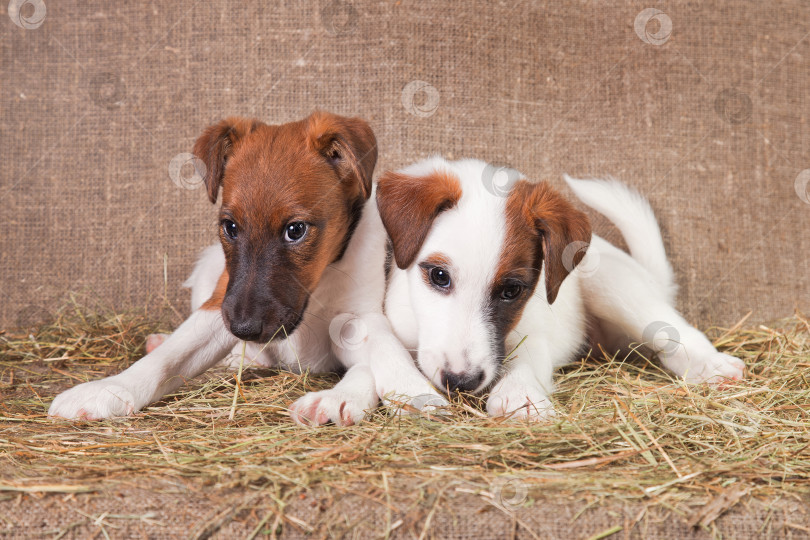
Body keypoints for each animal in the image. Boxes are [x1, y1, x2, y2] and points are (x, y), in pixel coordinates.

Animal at [49, 113, 442, 426]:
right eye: (231, 227)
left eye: (295, 230)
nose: (244, 329)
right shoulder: (220, 303)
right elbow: (168, 357)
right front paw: (109, 390)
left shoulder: (357, 318)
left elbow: (380, 353)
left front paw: (393, 392)